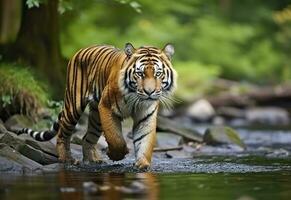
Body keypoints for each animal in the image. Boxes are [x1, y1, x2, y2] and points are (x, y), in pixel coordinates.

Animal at [16, 43, 178, 169]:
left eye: (158, 73)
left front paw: (142, 164)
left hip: (96, 116)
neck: (137, 99)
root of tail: (81, 49)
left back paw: (93, 160)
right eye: (140, 74)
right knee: (63, 133)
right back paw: (67, 159)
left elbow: (145, 140)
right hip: (74, 106)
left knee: (87, 137)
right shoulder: (106, 106)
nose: (149, 92)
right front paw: (116, 155)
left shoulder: (146, 115)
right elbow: (115, 138)